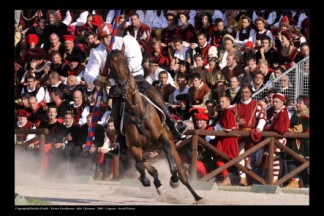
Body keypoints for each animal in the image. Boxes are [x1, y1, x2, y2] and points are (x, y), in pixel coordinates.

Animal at [106, 49, 202, 203]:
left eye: (125, 62)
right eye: (110, 66)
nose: (122, 86)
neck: (137, 113)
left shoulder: (163, 137)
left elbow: (168, 154)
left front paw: (173, 179)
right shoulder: (134, 148)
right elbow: (140, 165)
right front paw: (146, 180)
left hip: (171, 144)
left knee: (182, 174)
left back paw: (196, 195)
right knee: (149, 168)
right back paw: (156, 184)